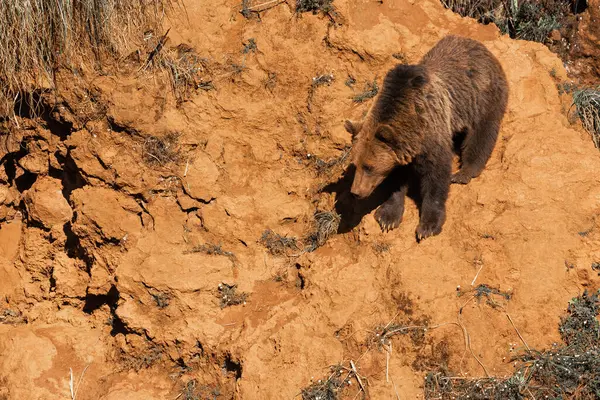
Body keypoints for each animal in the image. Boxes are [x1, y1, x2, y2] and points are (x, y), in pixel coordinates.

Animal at [344, 34, 508, 239]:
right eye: (355, 164)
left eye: (369, 167)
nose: (355, 192)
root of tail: (480, 45)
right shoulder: (402, 152)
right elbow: (397, 181)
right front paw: (388, 217)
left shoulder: (432, 133)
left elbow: (436, 176)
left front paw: (428, 226)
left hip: (481, 96)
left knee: (481, 133)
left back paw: (465, 172)